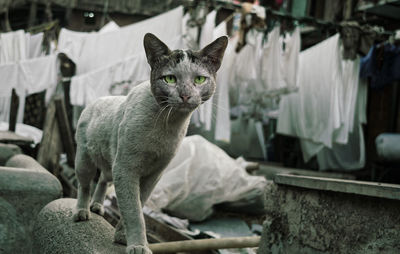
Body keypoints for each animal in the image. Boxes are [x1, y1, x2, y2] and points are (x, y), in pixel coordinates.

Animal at [72, 32, 228, 254]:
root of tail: (96, 100)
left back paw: (97, 206)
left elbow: (138, 203)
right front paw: (138, 245)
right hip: (85, 161)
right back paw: (82, 212)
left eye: (199, 79)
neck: (167, 125)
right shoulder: (126, 169)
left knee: (102, 179)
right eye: (170, 78)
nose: (185, 94)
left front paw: (122, 237)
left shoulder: (154, 174)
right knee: (84, 185)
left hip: (111, 163)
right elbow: (134, 211)